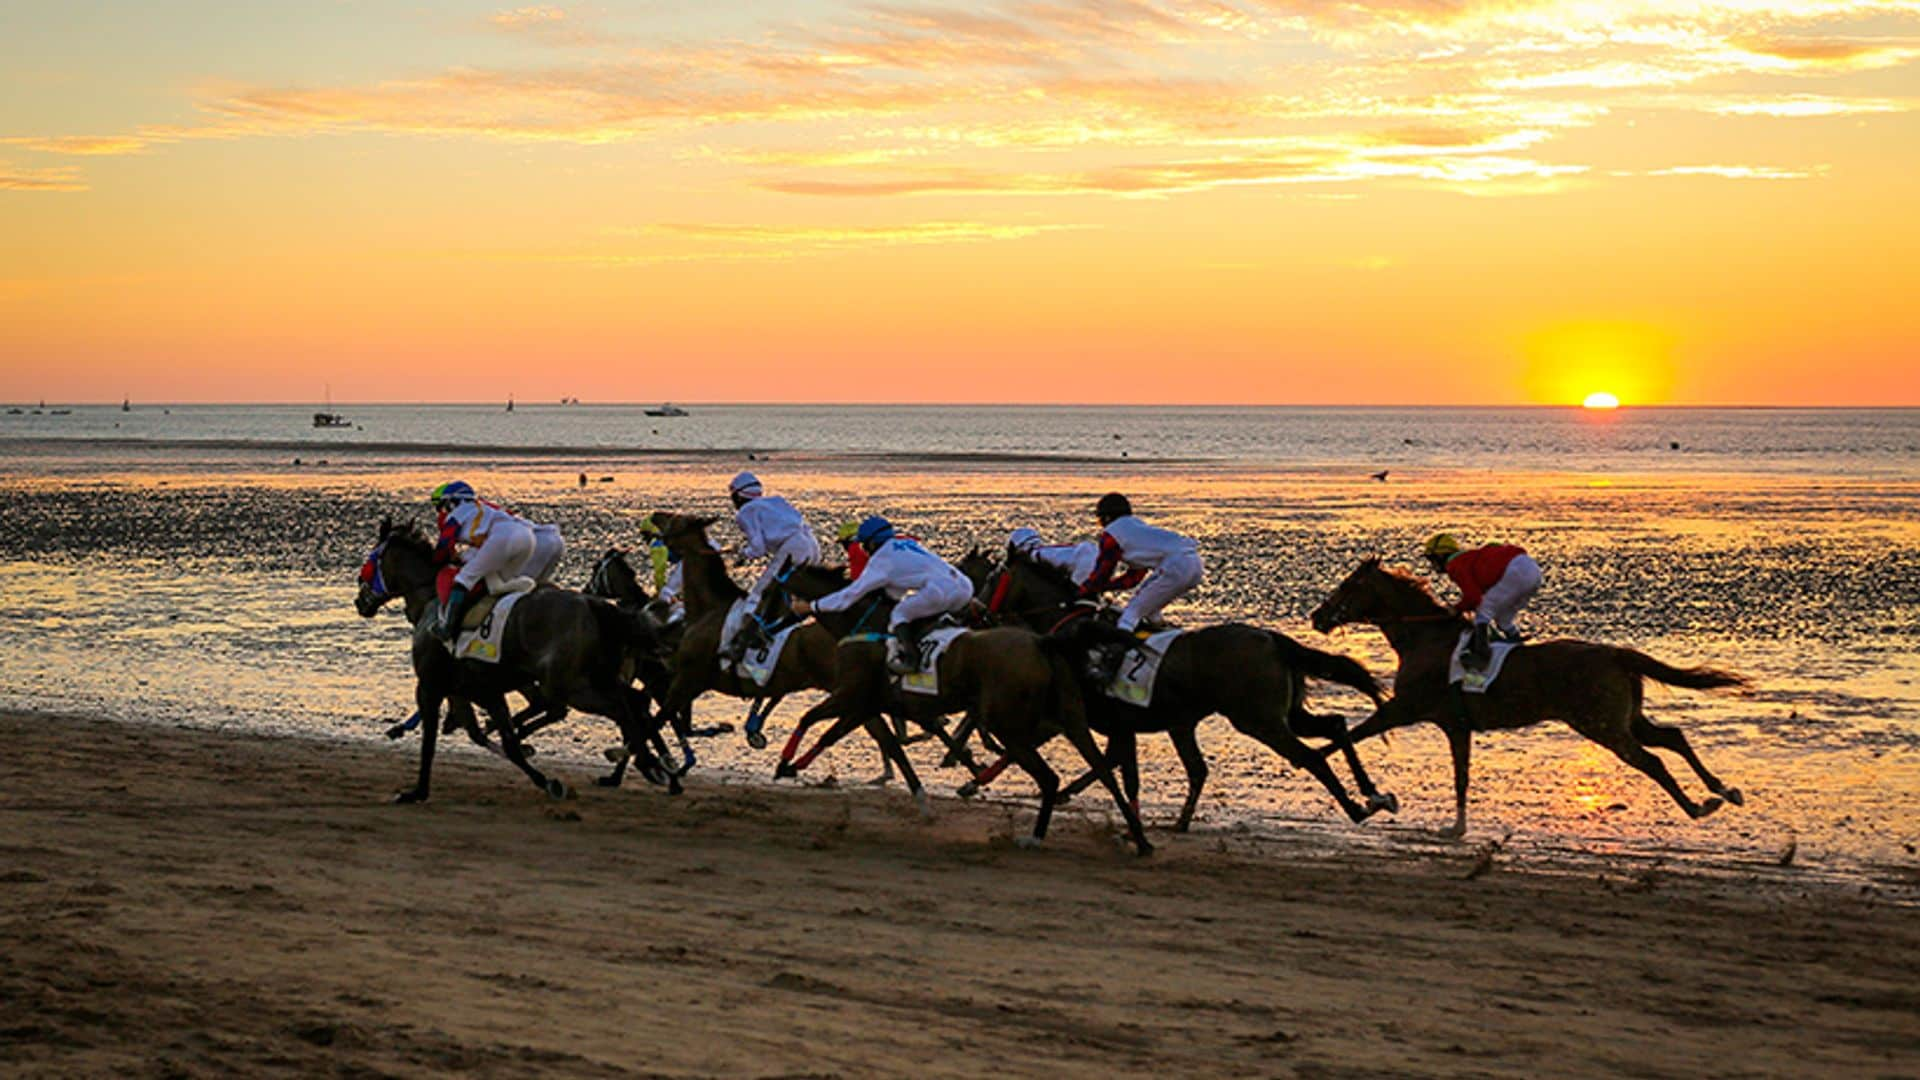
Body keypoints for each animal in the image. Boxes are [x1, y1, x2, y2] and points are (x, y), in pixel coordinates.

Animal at [355, 518, 675, 803]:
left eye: (370, 561)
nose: (360, 601)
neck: (433, 599)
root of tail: (593, 605)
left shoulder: (431, 686)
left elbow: (430, 743)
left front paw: (417, 792)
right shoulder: (478, 690)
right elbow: (505, 743)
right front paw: (548, 782)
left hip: (569, 685)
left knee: (618, 708)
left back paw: (649, 763)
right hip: (597, 677)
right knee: (632, 702)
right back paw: (654, 763)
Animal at [960, 549, 1397, 826]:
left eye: (989, 578)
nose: (973, 612)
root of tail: (1273, 639)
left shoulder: (1079, 714)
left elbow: (1036, 748)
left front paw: (974, 780)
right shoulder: (1125, 723)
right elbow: (1114, 763)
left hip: (1258, 719)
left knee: (1311, 757)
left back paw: (1357, 808)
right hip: (1281, 714)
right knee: (1333, 725)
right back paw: (1374, 794)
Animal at [1313, 553, 1751, 834]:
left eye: (1347, 585)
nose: (1316, 616)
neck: (1424, 637)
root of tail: (1614, 653)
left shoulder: (1405, 708)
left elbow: (1353, 734)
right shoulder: (1456, 725)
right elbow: (1461, 775)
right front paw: (1455, 827)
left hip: (1601, 725)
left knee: (1652, 761)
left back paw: (1696, 806)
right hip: (1627, 718)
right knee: (1673, 737)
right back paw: (1722, 791)